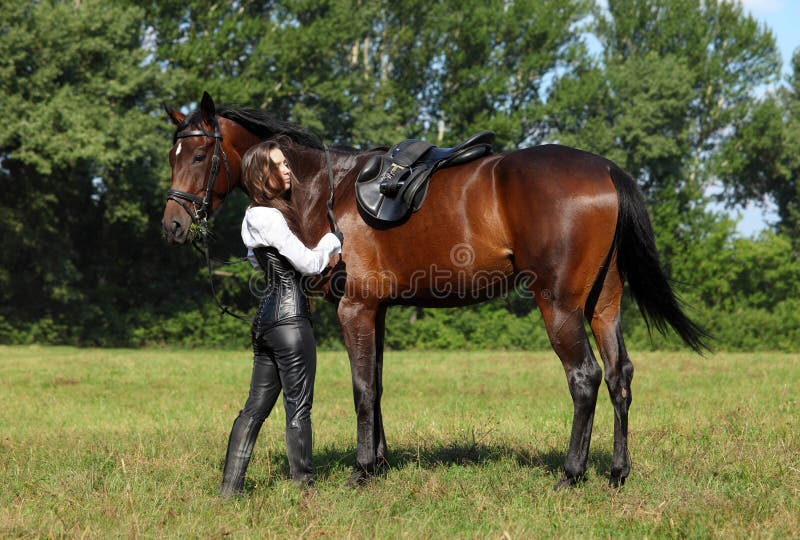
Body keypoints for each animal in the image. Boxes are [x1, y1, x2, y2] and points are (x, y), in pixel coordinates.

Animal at [162, 93, 708, 490]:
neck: (325, 189)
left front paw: (361, 471)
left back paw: (570, 476)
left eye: (200, 154)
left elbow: (361, 388)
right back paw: (617, 473)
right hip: (603, 305)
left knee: (585, 378)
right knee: (619, 377)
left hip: (560, 306)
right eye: (173, 155)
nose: (173, 225)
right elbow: (377, 384)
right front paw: (380, 463)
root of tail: (605, 170)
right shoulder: (377, 310)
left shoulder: (355, 309)